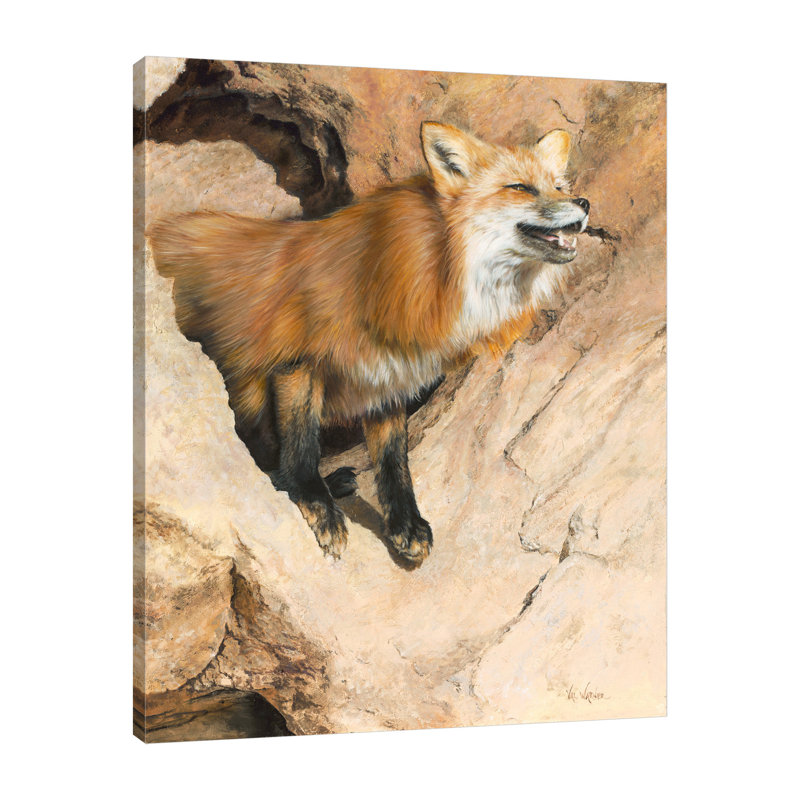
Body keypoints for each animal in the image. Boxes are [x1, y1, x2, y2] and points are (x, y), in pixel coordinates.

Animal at [148, 121, 589, 565]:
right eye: (519, 188)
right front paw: (315, 503)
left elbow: (395, 464)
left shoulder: (390, 378)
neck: (429, 274)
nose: (584, 203)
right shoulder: (295, 361)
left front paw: (405, 525)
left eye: (559, 186)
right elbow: (300, 445)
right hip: (244, 385)